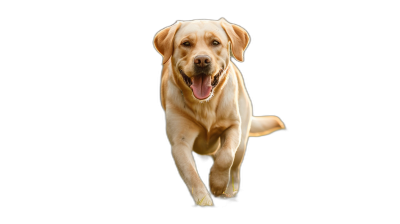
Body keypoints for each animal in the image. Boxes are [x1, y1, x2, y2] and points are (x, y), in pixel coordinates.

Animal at [152, 18, 284, 206]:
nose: (201, 60)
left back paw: (229, 190)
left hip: (242, 139)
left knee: (234, 167)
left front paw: (217, 184)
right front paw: (204, 201)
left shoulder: (233, 127)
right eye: (186, 43)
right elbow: (192, 175)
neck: (205, 105)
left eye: (215, 42)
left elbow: (226, 155)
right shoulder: (180, 143)